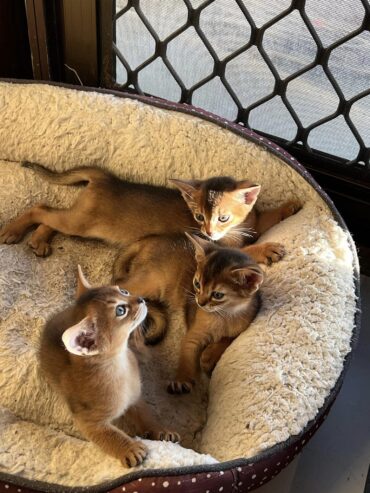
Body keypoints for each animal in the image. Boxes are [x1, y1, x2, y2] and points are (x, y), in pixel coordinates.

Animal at [0, 161, 298, 256]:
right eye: (198, 217)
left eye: (222, 217)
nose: (208, 232)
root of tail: (107, 178)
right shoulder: (211, 248)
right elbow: (246, 252)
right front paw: (266, 249)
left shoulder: (253, 222)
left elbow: (266, 218)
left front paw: (290, 206)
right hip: (80, 222)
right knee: (39, 208)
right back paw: (13, 230)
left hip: (77, 220)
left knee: (49, 216)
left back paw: (39, 240)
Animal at [39, 266, 179, 466]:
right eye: (120, 310)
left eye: (123, 291)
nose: (140, 299)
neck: (120, 365)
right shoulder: (87, 420)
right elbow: (109, 434)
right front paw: (130, 448)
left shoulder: (135, 399)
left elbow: (148, 416)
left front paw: (161, 431)